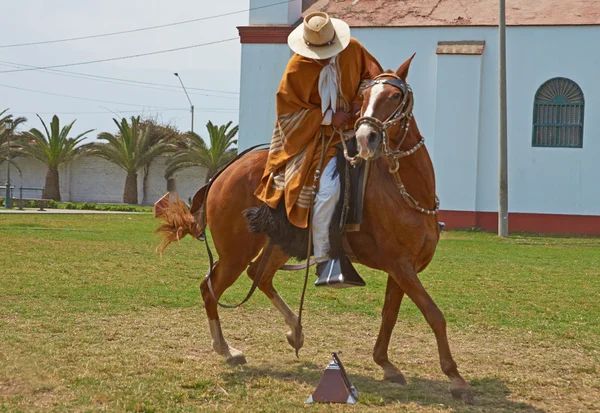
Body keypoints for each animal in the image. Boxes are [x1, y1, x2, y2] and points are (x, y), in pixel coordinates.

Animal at [156, 56, 474, 400]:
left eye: (395, 96)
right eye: (365, 97)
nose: (366, 138)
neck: (405, 189)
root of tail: (222, 174)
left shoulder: (402, 270)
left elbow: (389, 316)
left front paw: (386, 364)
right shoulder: (400, 266)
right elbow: (434, 314)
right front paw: (455, 377)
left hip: (279, 243)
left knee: (259, 275)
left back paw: (294, 331)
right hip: (234, 253)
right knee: (210, 287)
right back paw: (227, 350)